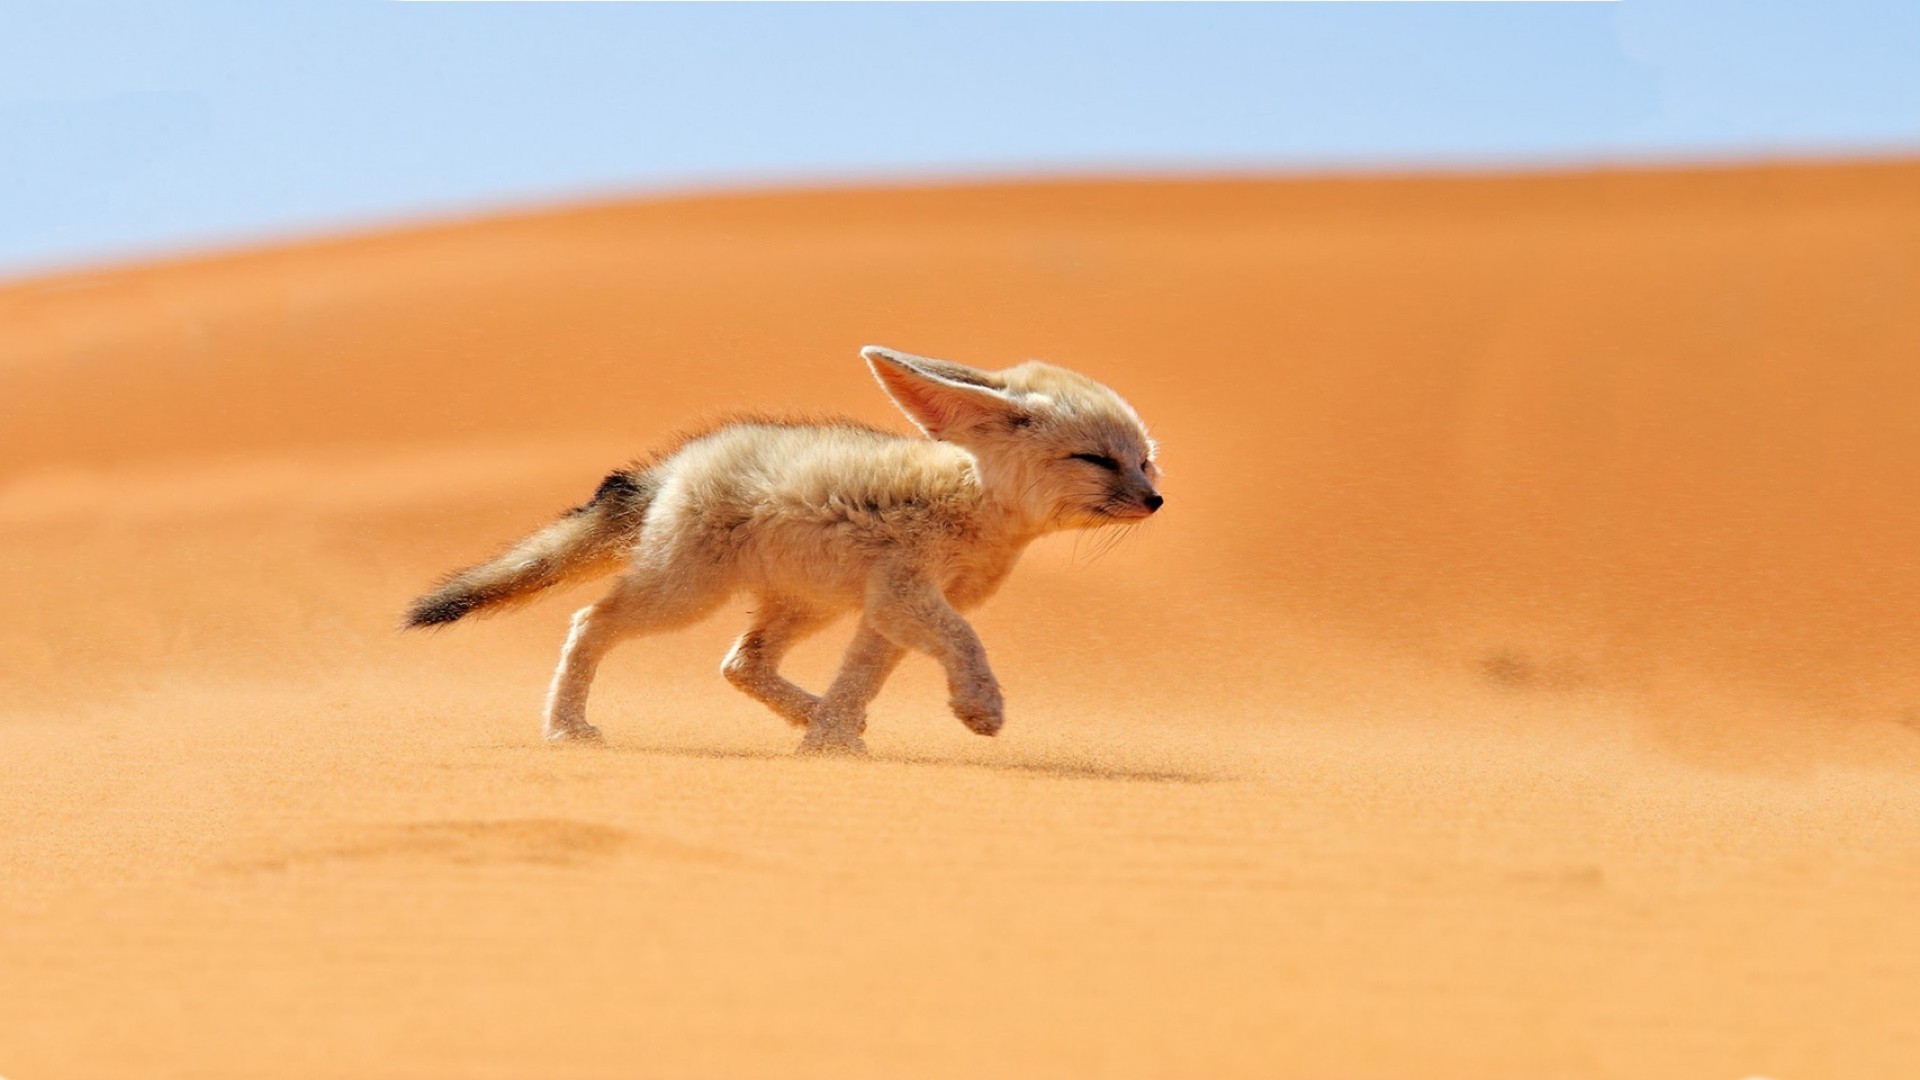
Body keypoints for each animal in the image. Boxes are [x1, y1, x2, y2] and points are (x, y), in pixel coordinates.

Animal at [403, 342, 1152, 749]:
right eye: (1096, 460)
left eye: (1145, 462)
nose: (1156, 501)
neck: (974, 505)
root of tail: (676, 464)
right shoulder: (907, 595)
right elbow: (965, 642)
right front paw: (980, 707)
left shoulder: (886, 610)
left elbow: (860, 679)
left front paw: (828, 743)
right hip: (683, 597)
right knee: (590, 621)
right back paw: (564, 728)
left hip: (806, 605)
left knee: (741, 663)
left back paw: (815, 717)